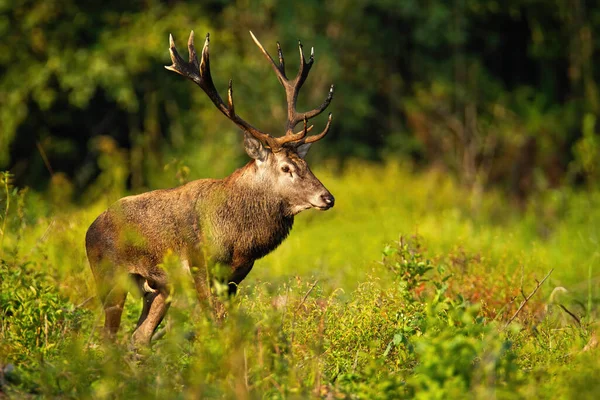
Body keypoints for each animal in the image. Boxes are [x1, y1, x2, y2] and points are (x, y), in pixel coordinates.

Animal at [85, 29, 336, 346]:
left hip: (158, 289)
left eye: (306, 163)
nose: (327, 197)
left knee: (138, 337)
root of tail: (89, 230)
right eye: (286, 168)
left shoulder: (234, 277)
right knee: (108, 338)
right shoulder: (200, 267)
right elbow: (214, 323)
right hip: (109, 278)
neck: (240, 239)